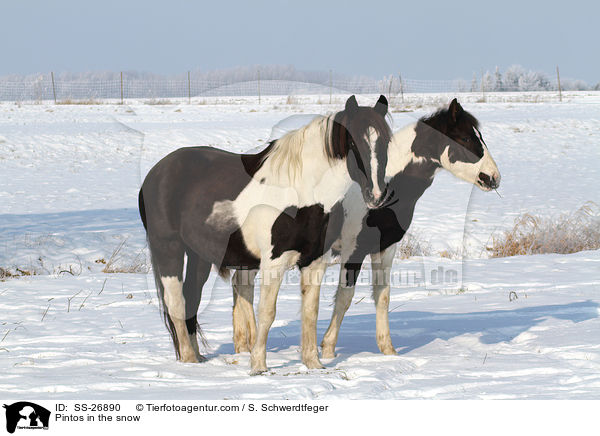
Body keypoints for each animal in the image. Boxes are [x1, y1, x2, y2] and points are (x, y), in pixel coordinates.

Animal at [140, 93, 394, 372]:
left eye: (386, 141)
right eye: (352, 141)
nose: (377, 195)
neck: (303, 192)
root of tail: (156, 173)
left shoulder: (315, 261)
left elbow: (310, 311)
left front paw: (313, 364)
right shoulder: (274, 262)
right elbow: (267, 312)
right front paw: (259, 365)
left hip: (199, 256)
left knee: (192, 300)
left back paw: (197, 358)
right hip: (168, 250)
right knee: (176, 303)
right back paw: (188, 359)